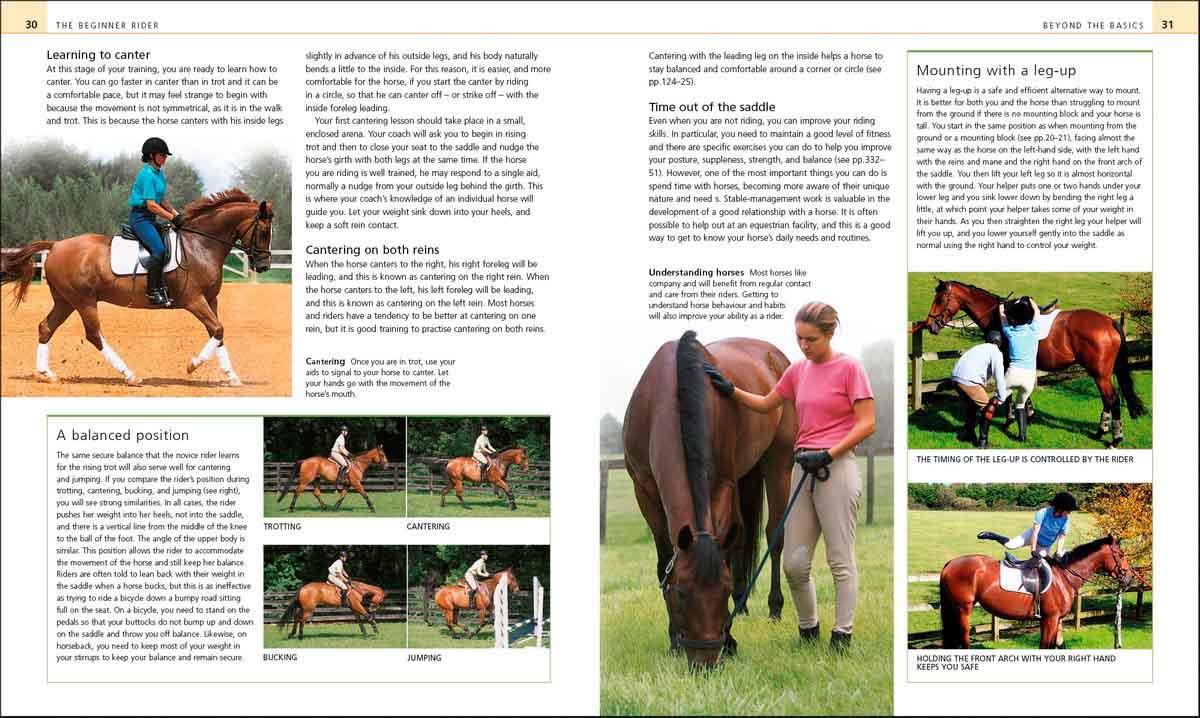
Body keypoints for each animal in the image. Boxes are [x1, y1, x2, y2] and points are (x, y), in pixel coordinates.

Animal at [0, 189, 273, 387]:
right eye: (263, 230)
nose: (263, 266)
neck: (200, 245)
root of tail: (56, 245)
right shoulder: (194, 300)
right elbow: (217, 329)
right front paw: (192, 365)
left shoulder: (211, 299)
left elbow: (217, 333)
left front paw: (232, 376)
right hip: (84, 301)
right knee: (94, 335)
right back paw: (130, 375)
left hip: (66, 301)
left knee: (46, 328)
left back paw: (47, 374)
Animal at [622, 331, 796, 668]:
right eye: (681, 592)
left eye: (722, 590)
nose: (706, 662)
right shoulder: (644, 491)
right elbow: (665, 561)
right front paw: (673, 640)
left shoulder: (722, 484)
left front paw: (729, 638)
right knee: (740, 537)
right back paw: (743, 605)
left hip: (778, 462)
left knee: (774, 536)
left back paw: (774, 608)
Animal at [912, 279, 1146, 446]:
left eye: (940, 300)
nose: (931, 324)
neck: (999, 317)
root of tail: (1108, 321)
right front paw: (1027, 416)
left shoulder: (1006, 363)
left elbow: (1007, 395)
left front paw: (1010, 419)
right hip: (1100, 373)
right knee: (1108, 399)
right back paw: (1100, 432)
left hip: (1099, 373)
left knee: (1112, 399)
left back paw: (1115, 439)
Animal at [938, 535, 1143, 649]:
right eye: (1121, 555)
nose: (1129, 578)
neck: (1064, 576)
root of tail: (950, 563)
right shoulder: (1050, 619)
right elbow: (1046, 646)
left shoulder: (1056, 620)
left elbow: (1059, 646)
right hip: (963, 610)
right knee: (963, 641)